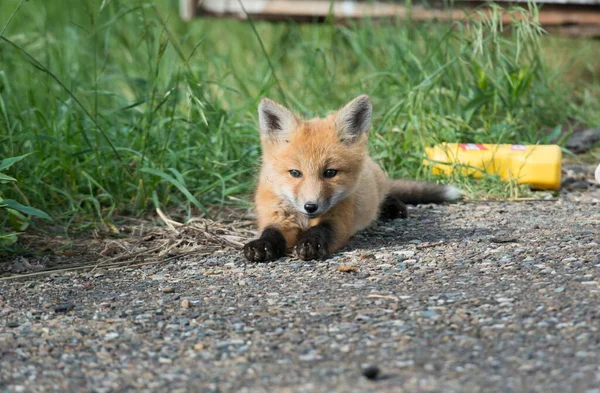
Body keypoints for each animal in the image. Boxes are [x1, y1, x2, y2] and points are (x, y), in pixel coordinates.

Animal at [241, 93, 462, 262]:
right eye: (295, 173)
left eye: (330, 173)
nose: (311, 207)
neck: (304, 220)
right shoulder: (276, 216)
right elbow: (271, 232)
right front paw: (260, 245)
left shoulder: (339, 220)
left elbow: (321, 232)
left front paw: (310, 244)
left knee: (385, 195)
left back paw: (393, 207)